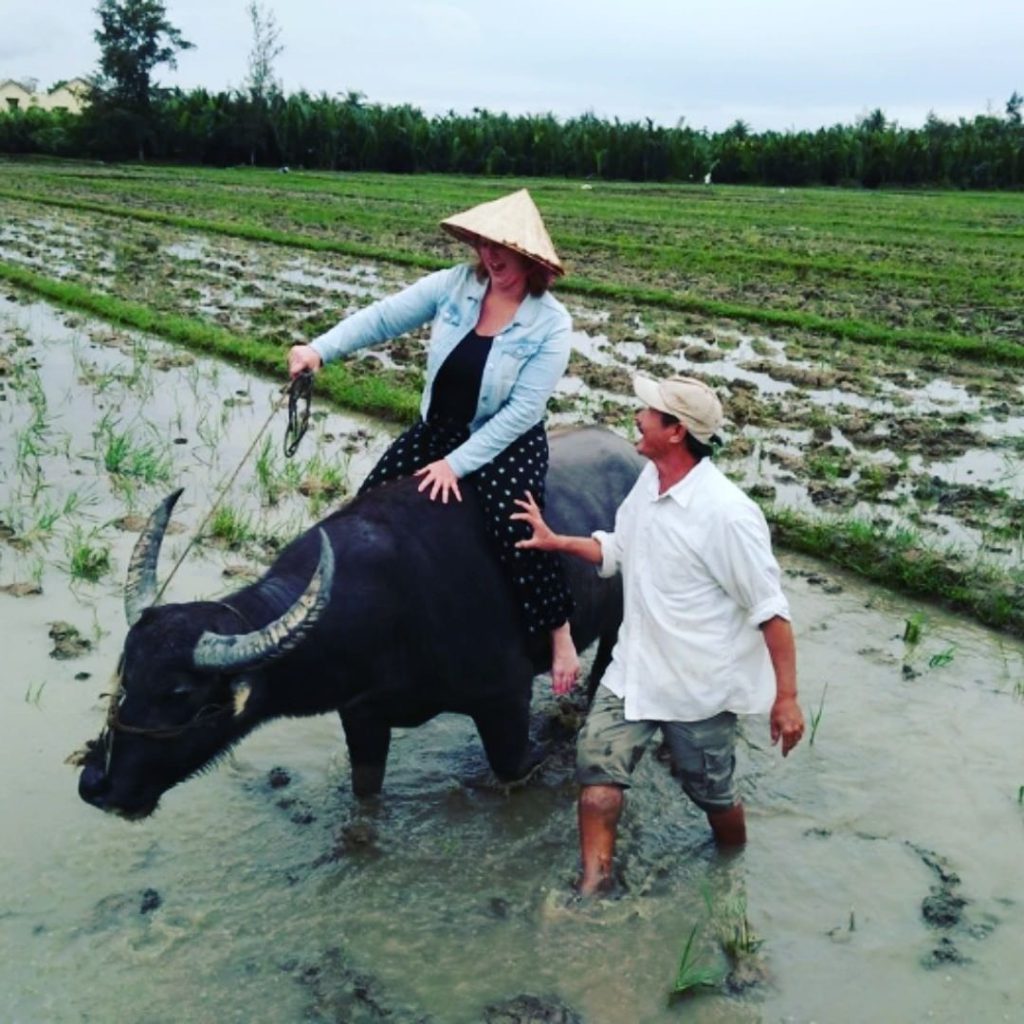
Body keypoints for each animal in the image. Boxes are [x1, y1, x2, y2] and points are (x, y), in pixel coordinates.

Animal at [79, 421, 638, 815]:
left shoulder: (505, 703)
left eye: (179, 694)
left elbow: (516, 766)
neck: (393, 609)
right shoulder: (363, 716)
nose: (96, 784)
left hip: (620, 626)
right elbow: (365, 793)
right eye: (126, 671)